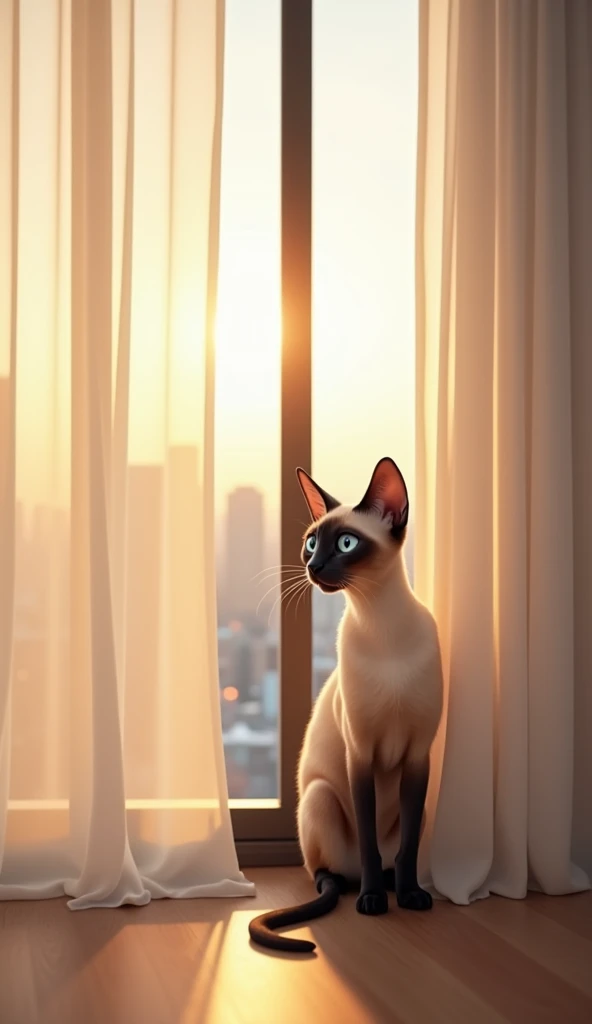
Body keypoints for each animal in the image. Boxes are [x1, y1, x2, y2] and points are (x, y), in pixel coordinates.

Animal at [246, 460, 440, 954]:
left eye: (346, 543)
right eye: (313, 542)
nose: (312, 566)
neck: (382, 624)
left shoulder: (417, 756)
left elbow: (408, 847)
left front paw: (410, 896)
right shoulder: (361, 754)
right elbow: (369, 838)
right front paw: (374, 904)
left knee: (391, 853)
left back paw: (394, 885)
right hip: (320, 795)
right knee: (331, 875)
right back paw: (361, 889)